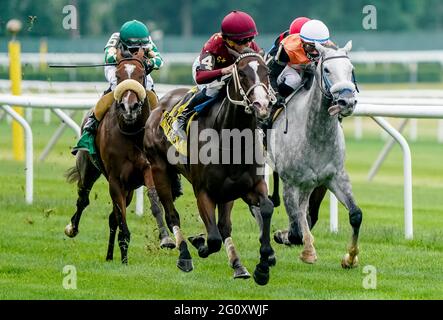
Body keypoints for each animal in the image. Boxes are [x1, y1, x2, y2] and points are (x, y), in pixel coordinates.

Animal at [64, 47, 175, 262]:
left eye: (141, 75)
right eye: (118, 75)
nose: (128, 107)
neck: (132, 133)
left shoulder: (147, 169)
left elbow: (153, 198)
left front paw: (165, 238)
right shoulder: (116, 180)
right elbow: (121, 217)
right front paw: (124, 255)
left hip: (130, 187)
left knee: (111, 217)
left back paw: (110, 255)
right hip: (89, 170)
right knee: (83, 199)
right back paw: (73, 228)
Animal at [145, 50, 278, 284]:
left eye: (267, 71)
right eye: (241, 73)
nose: (262, 105)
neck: (232, 139)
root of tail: (160, 105)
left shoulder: (246, 187)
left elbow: (265, 209)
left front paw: (263, 265)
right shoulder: (203, 191)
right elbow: (213, 238)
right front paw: (199, 243)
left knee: (224, 226)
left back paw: (238, 265)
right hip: (159, 169)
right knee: (172, 215)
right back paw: (184, 255)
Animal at [268, 41, 362, 268]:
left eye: (351, 69)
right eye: (326, 69)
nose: (347, 102)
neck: (315, 135)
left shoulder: (333, 177)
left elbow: (355, 215)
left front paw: (350, 257)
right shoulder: (291, 182)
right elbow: (295, 229)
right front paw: (303, 248)